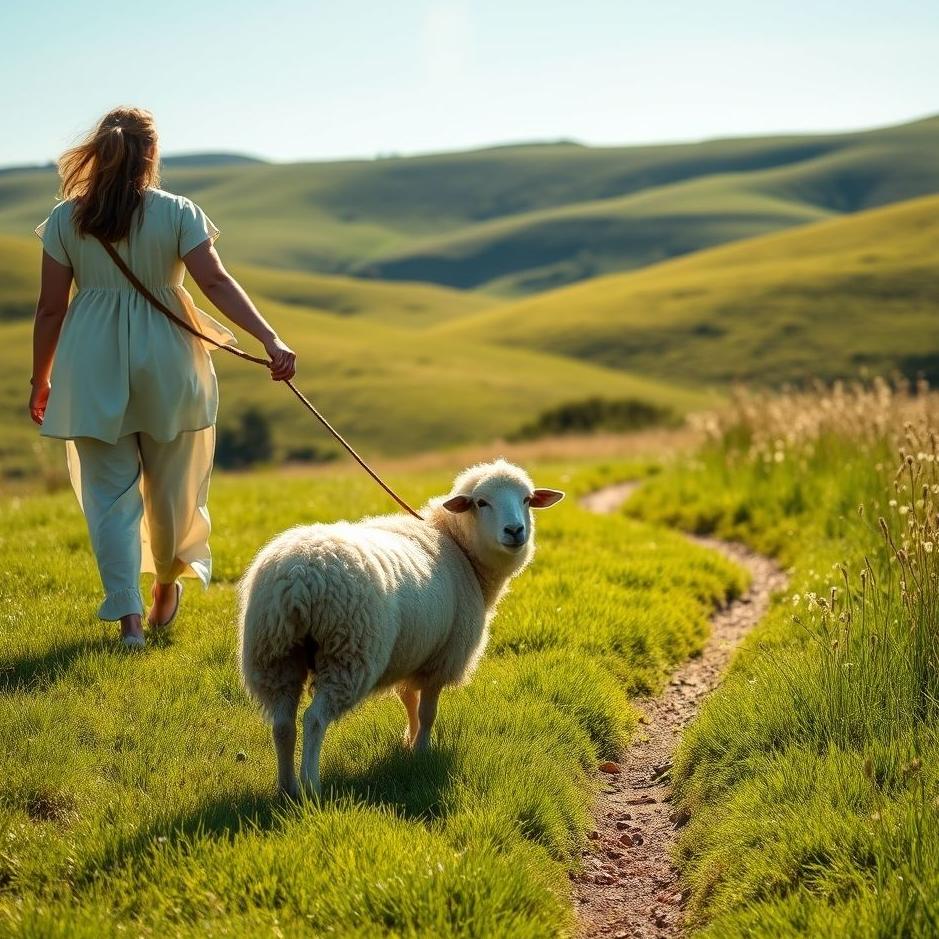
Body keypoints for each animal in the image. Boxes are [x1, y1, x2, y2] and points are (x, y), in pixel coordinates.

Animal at [237, 459, 564, 798]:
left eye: (527, 500)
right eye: (481, 502)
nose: (515, 531)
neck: (459, 549)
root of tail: (300, 579)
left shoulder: (413, 651)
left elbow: (409, 699)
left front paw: (408, 742)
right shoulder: (442, 658)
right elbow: (427, 712)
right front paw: (421, 751)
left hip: (273, 653)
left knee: (282, 724)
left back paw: (287, 787)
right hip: (347, 651)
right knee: (314, 719)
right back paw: (311, 785)